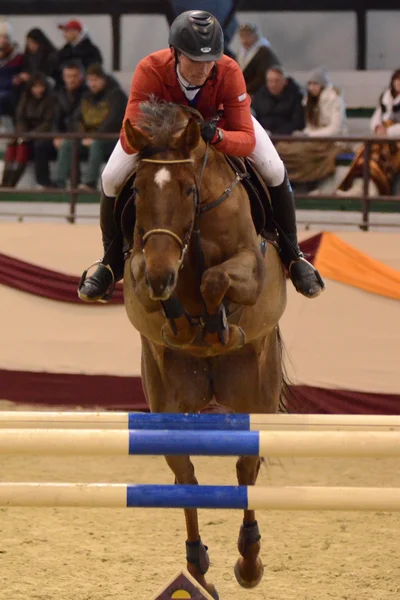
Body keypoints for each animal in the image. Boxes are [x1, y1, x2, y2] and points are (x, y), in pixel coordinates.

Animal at [122, 101, 288, 596]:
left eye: (189, 189)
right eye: (137, 189)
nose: (164, 273)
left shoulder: (250, 268)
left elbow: (216, 279)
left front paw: (217, 325)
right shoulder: (140, 268)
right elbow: (153, 286)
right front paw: (180, 318)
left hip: (256, 394)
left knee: (246, 468)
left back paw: (249, 562)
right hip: (168, 399)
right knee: (186, 476)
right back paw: (195, 567)